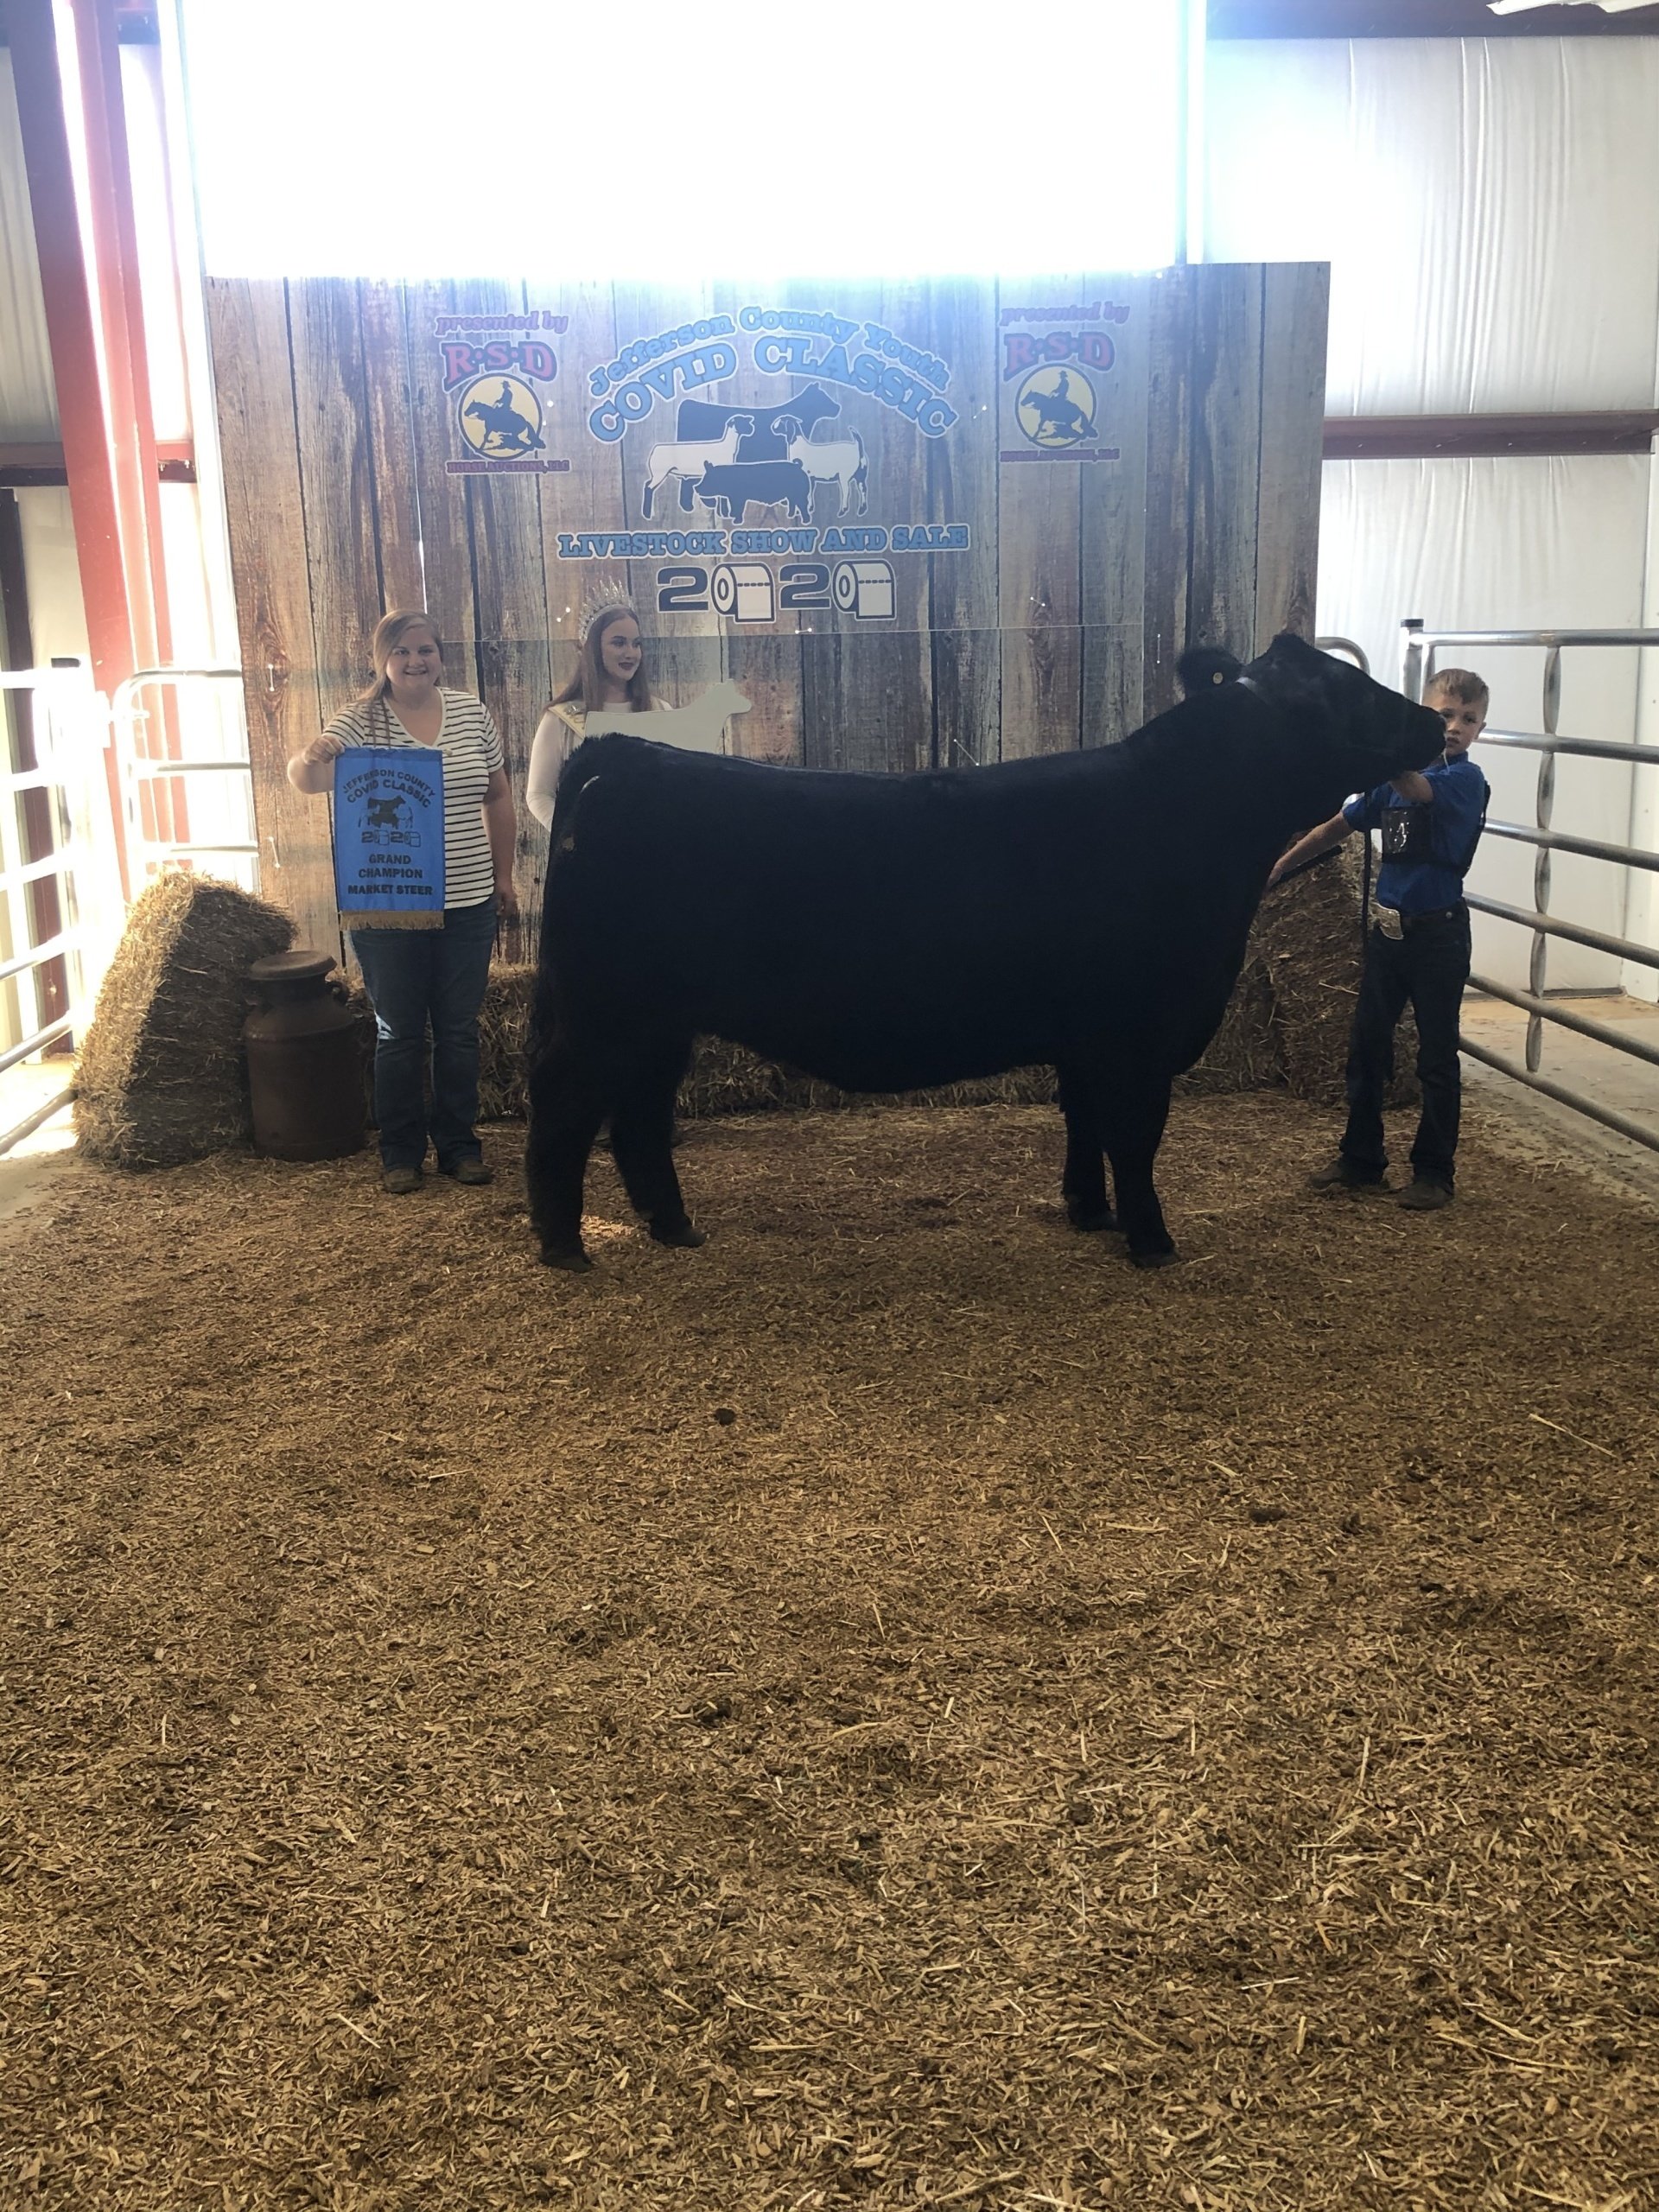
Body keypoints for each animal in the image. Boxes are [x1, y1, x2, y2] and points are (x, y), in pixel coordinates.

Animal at [525, 635, 1445, 1274]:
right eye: (1345, 688)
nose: (1436, 721)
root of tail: (620, 755)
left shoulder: (1089, 1041)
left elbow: (1086, 1126)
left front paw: (1092, 1213)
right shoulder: (1137, 1037)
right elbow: (1134, 1137)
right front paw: (1152, 1241)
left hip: (659, 1025)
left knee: (639, 1118)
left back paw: (674, 1228)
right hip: (604, 1013)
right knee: (567, 1110)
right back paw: (565, 1247)